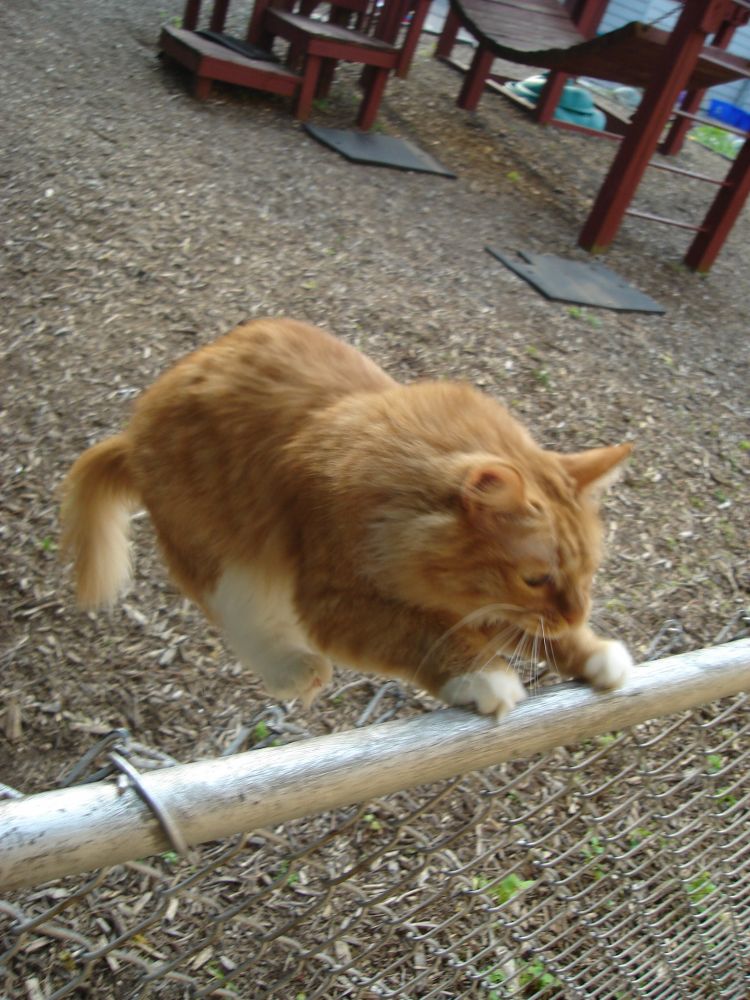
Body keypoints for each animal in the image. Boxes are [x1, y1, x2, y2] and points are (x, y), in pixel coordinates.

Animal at [60, 317, 634, 720]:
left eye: (588, 574)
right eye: (535, 579)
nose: (576, 615)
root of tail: (131, 435)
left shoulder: (477, 604)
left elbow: (524, 632)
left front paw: (595, 654)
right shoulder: (336, 600)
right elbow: (422, 635)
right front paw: (483, 678)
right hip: (227, 554)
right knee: (240, 619)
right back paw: (295, 671)